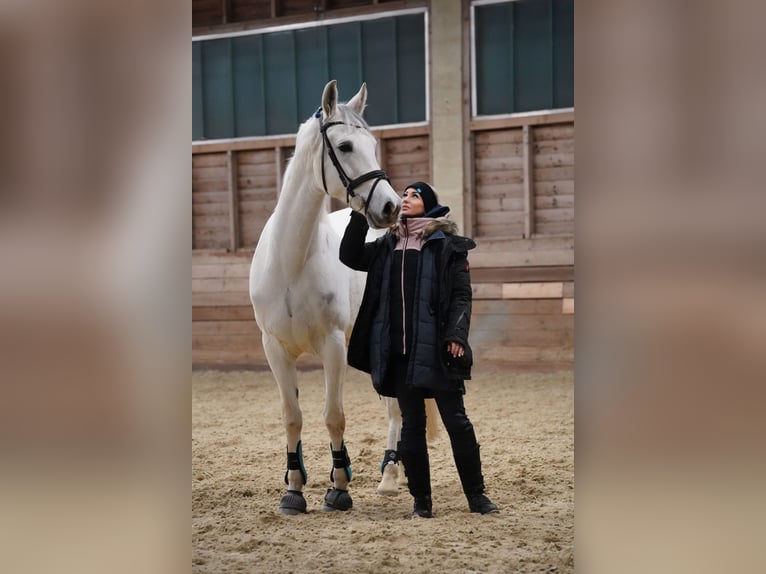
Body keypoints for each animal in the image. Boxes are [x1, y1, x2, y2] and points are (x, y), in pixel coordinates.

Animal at [250, 79, 408, 516]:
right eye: (346, 146)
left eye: (373, 144)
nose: (390, 206)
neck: (290, 262)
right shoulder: (274, 349)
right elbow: (292, 416)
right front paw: (294, 489)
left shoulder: (333, 346)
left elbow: (334, 416)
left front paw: (338, 488)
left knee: (395, 406)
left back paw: (391, 475)